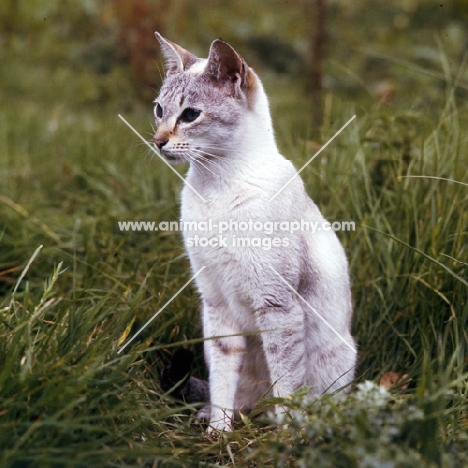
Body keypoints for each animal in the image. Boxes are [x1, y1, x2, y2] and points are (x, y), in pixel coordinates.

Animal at [153, 33, 354, 434]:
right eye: (158, 110)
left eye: (190, 115)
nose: (157, 141)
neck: (215, 184)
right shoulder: (216, 305)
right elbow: (222, 380)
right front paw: (218, 432)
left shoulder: (277, 305)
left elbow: (285, 382)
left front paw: (286, 435)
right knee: (239, 397)